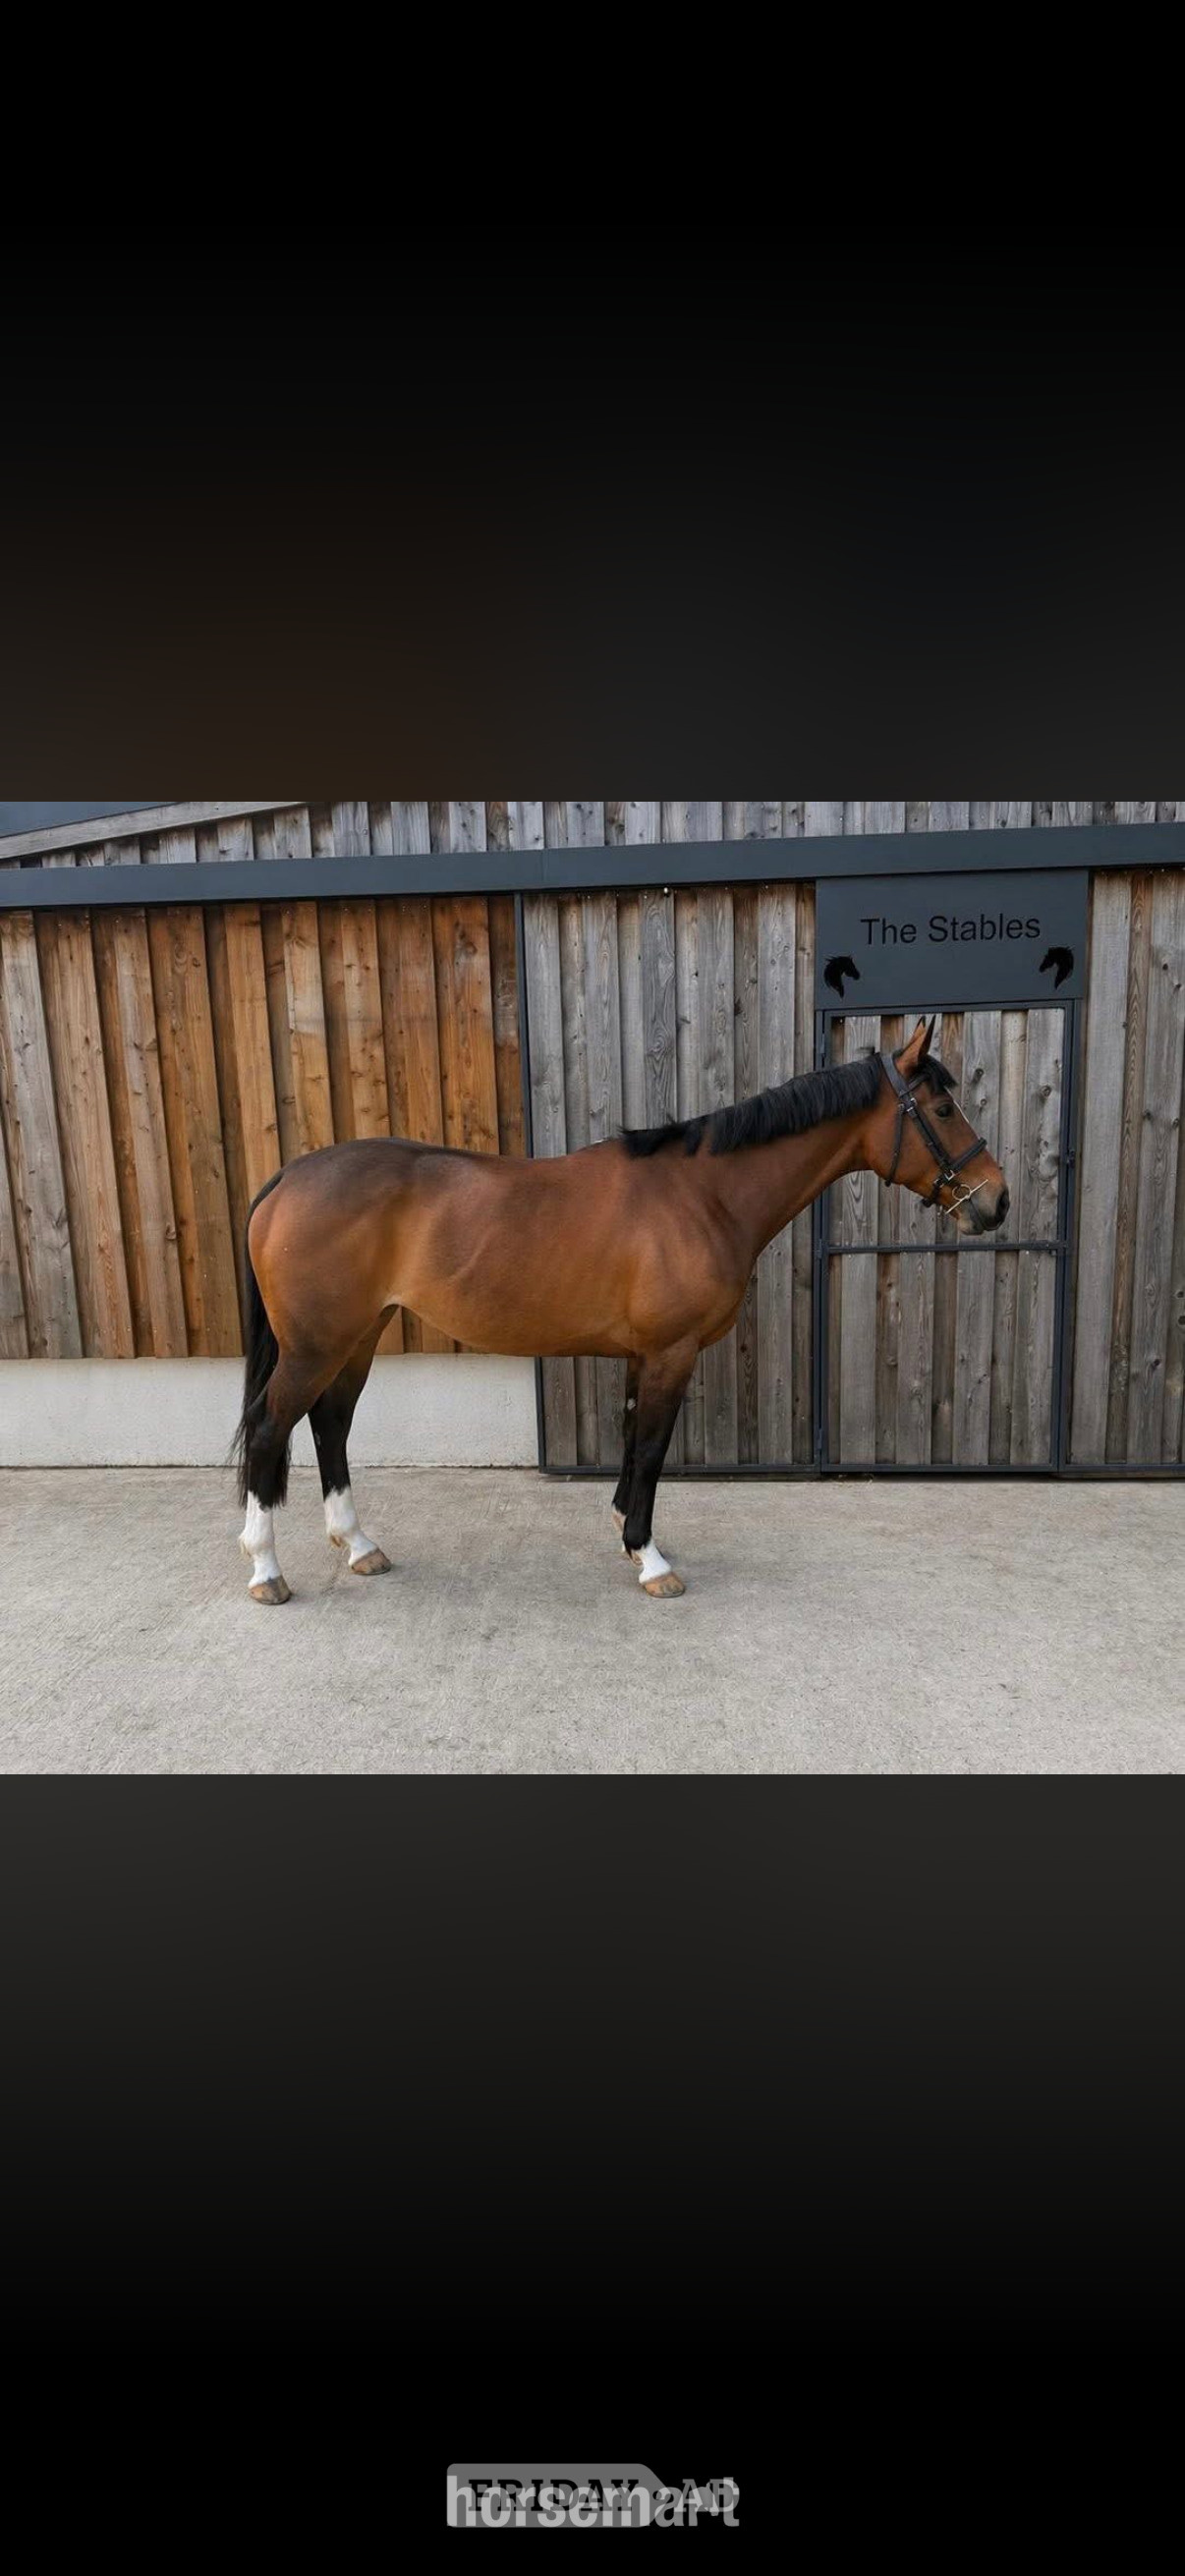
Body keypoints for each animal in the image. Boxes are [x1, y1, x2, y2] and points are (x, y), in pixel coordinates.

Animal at [233, 1015, 1008, 1605]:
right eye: (943, 1109)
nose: (997, 1201)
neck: (702, 1195)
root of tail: (286, 1179)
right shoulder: (671, 1352)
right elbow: (653, 1448)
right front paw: (651, 1558)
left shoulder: (644, 1355)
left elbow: (635, 1441)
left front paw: (625, 1536)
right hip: (316, 1345)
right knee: (273, 1428)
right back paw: (266, 1568)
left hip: (355, 1337)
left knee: (331, 1425)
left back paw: (359, 1545)